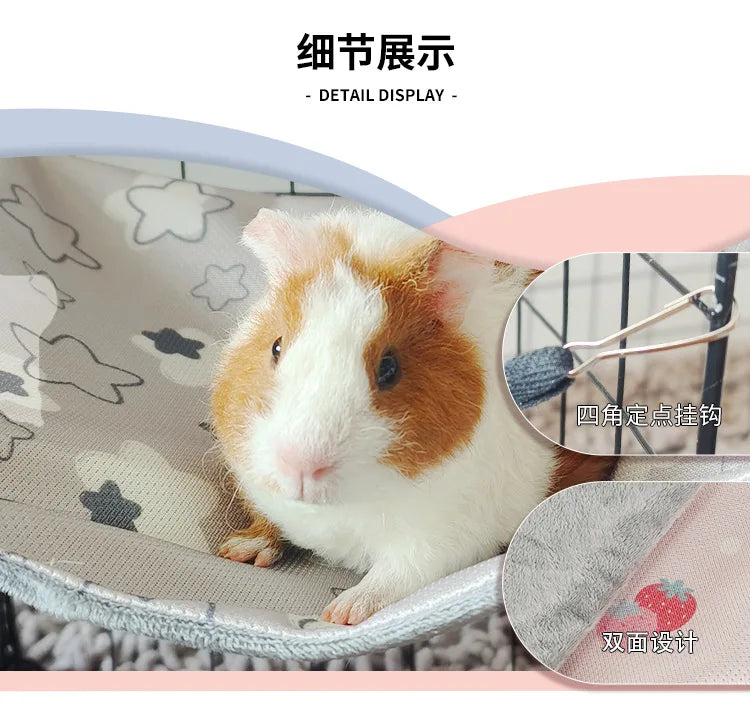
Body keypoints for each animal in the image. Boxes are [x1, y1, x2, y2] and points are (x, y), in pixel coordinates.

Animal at [211, 207, 615, 625]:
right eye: (276, 347)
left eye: (389, 368)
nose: (300, 466)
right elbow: (268, 522)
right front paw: (238, 551)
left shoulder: (439, 540)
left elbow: (395, 576)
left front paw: (340, 614)